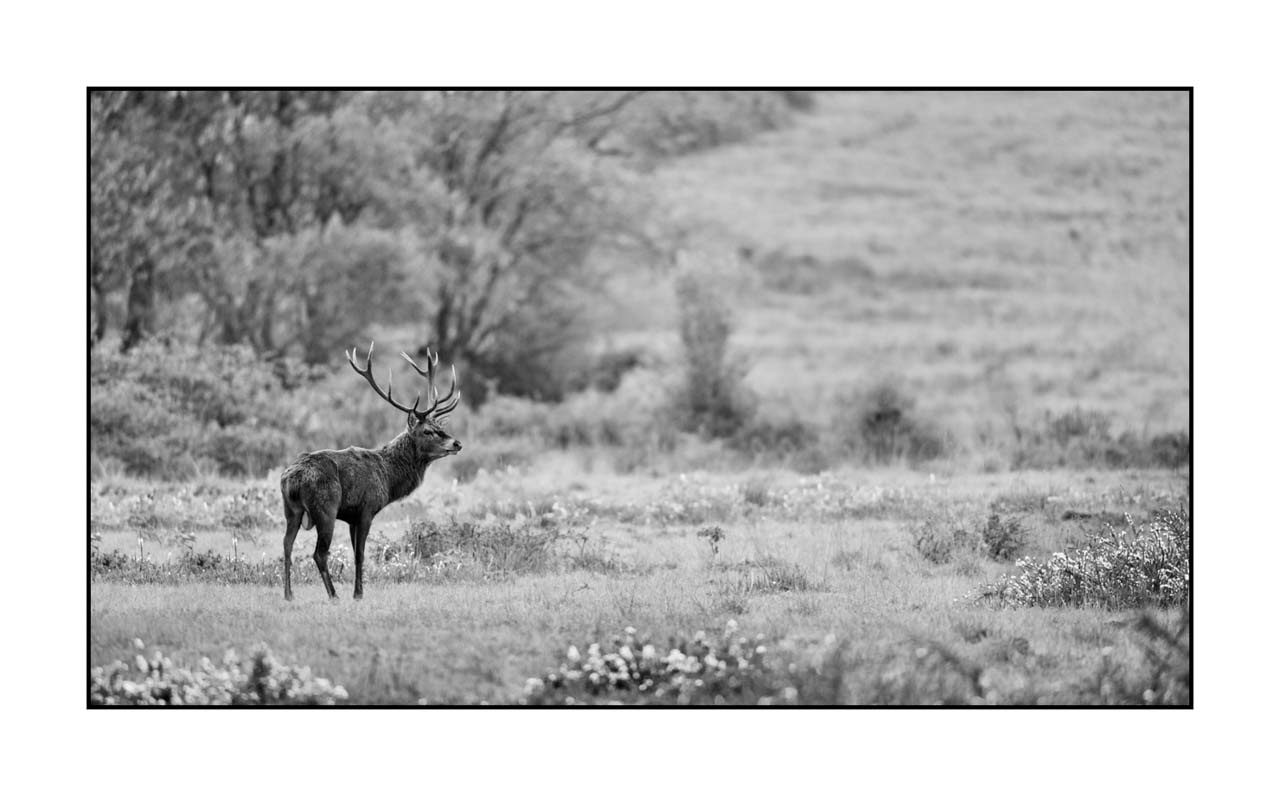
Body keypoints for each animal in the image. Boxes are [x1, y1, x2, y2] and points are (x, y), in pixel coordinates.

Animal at [279, 342, 462, 601]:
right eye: (427, 431)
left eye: (440, 426)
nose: (457, 443)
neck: (388, 478)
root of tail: (291, 478)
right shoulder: (366, 509)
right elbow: (360, 554)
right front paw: (358, 594)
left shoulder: (351, 517)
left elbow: (355, 552)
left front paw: (358, 591)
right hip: (325, 507)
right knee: (319, 553)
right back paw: (333, 595)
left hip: (291, 510)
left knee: (286, 545)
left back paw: (289, 594)